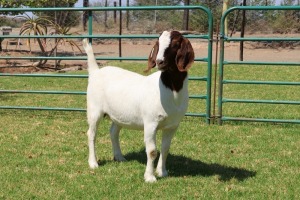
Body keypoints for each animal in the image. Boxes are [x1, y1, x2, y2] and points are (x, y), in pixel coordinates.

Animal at [82, 30, 195, 182]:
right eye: (158, 43)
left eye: (176, 43)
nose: (159, 61)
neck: (172, 91)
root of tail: (95, 72)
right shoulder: (150, 123)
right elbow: (152, 151)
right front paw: (150, 177)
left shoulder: (172, 125)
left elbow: (165, 148)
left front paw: (162, 172)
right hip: (94, 109)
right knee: (91, 133)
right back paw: (93, 163)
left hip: (119, 114)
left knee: (113, 132)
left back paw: (119, 157)